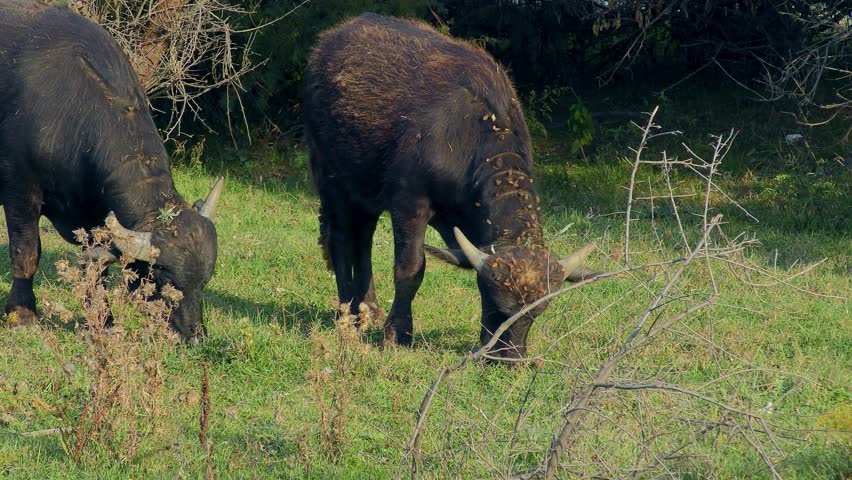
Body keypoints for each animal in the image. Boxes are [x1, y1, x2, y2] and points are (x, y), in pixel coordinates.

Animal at [0, 0, 221, 340]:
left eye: (205, 281)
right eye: (165, 278)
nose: (195, 334)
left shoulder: (96, 217)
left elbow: (97, 265)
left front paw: (102, 322)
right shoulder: (19, 190)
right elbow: (26, 253)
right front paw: (22, 313)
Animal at [304, 13, 596, 359]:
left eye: (536, 314)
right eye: (495, 302)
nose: (508, 358)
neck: (469, 136)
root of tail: (328, 41)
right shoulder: (409, 203)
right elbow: (411, 268)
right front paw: (397, 333)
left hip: (366, 191)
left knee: (362, 240)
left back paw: (369, 310)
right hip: (331, 179)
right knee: (340, 238)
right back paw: (346, 315)